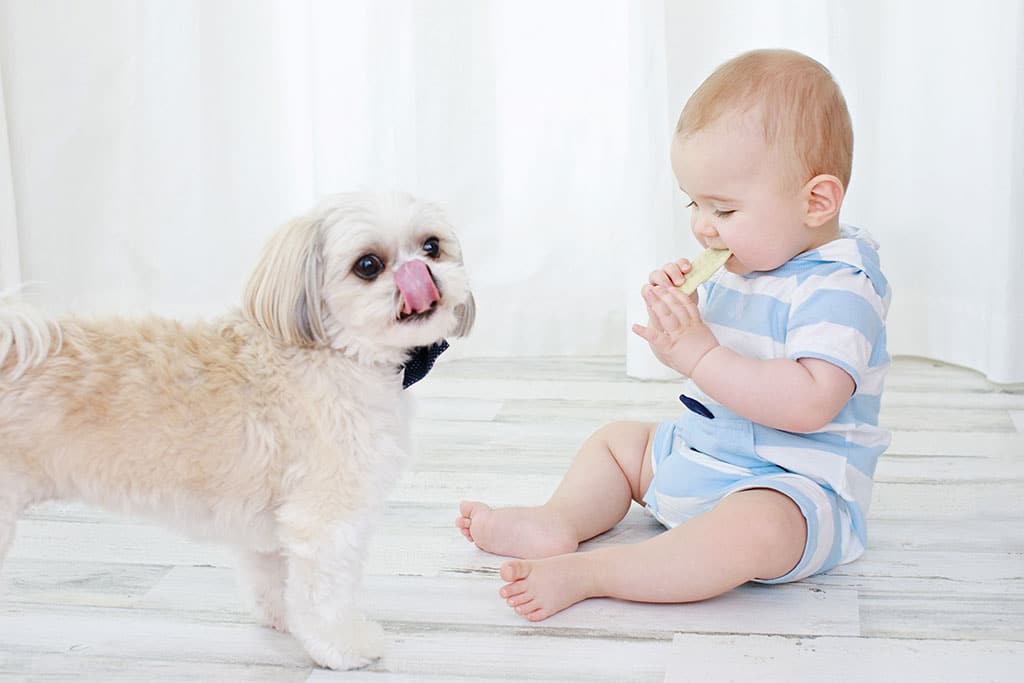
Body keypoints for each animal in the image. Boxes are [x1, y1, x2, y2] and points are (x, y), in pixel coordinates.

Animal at [0, 191, 473, 667]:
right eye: (369, 265)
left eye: (432, 247)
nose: (426, 276)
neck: (337, 353)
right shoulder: (325, 515)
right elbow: (325, 594)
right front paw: (345, 646)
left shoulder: (273, 524)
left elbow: (273, 576)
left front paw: (285, 621)